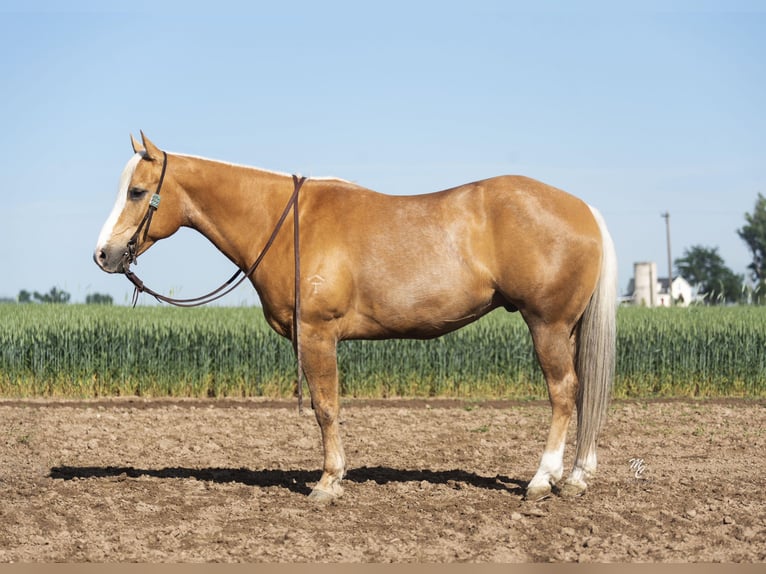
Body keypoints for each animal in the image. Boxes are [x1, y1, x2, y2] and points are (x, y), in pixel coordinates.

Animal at [94, 134, 616, 504]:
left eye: (137, 191)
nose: (103, 254)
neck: (288, 223)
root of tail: (584, 210)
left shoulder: (317, 335)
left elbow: (326, 408)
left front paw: (327, 482)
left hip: (547, 325)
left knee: (563, 393)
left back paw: (542, 480)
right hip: (567, 329)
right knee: (582, 391)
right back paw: (576, 477)